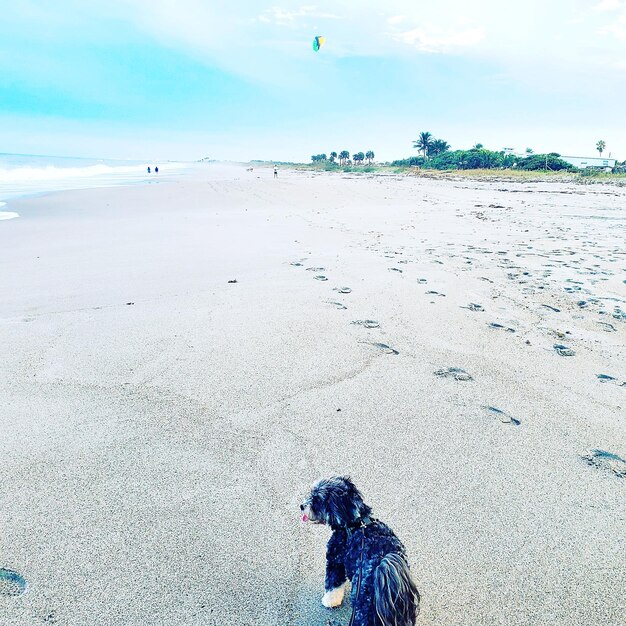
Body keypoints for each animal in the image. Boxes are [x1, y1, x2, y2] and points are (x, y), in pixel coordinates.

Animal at [298, 476, 420, 620]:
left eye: (317, 499)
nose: (302, 506)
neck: (356, 523)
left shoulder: (335, 560)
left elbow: (333, 584)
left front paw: (329, 601)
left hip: (361, 608)